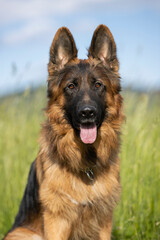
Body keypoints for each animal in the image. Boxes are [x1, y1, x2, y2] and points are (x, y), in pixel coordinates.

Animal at [4, 24, 124, 240]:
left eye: (98, 85)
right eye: (71, 86)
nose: (87, 113)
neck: (86, 166)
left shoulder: (104, 220)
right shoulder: (56, 221)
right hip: (26, 234)